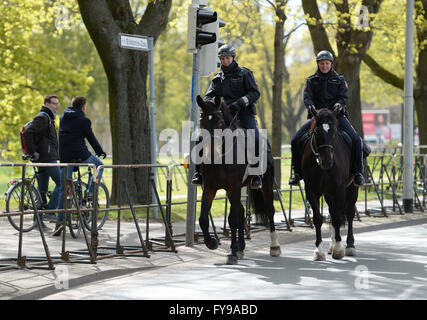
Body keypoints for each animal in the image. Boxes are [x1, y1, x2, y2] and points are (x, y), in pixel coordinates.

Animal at [196, 94, 282, 264]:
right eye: (202, 121)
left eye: (219, 121)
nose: (211, 152)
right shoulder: (209, 188)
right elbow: (203, 218)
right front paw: (212, 243)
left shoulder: (233, 187)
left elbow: (233, 219)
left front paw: (232, 252)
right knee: (241, 212)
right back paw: (241, 247)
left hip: (266, 183)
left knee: (269, 210)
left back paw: (274, 246)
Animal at [302, 106, 360, 262]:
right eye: (317, 131)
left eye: (334, 131)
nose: (327, 161)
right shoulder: (311, 191)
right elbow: (318, 219)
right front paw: (319, 250)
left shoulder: (339, 190)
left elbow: (338, 218)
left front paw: (339, 249)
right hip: (329, 195)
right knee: (333, 212)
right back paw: (331, 246)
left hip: (352, 189)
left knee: (349, 213)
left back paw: (349, 246)